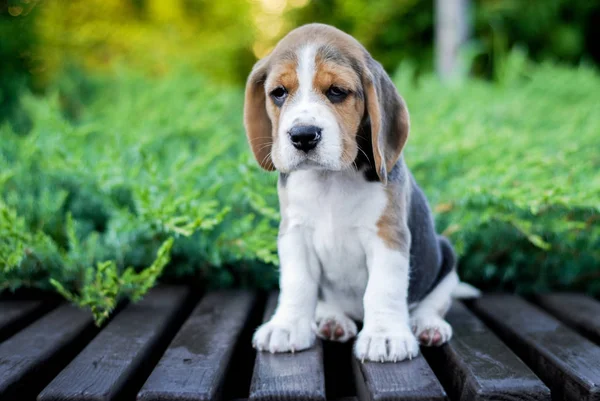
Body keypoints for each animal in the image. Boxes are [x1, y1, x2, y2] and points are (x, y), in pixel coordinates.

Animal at [244, 25, 478, 362]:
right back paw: (332, 320)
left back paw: (428, 326)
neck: (330, 179)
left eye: (337, 91)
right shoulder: (294, 233)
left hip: (445, 257)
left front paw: (385, 335)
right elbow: (297, 283)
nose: (303, 136)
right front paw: (286, 327)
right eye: (278, 93)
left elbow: (383, 288)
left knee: (434, 302)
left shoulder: (388, 235)